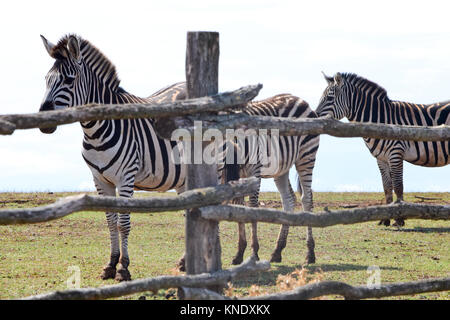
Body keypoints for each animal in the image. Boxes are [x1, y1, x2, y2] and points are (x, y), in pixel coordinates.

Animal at [38, 33, 186, 282]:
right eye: (46, 80)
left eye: (69, 80)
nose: (43, 122)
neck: (95, 129)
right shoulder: (100, 179)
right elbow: (110, 221)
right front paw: (110, 264)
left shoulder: (126, 178)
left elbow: (123, 223)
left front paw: (124, 268)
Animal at [222, 94, 320, 264]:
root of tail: (299, 99)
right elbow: (239, 206)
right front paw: (239, 253)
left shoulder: (255, 170)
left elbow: (253, 206)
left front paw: (254, 253)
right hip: (282, 167)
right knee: (289, 199)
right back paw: (277, 251)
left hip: (306, 156)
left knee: (307, 199)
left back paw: (310, 253)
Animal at [316, 72, 450, 228]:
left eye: (330, 98)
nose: (314, 117)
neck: (380, 120)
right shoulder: (381, 158)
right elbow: (386, 186)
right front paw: (386, 218)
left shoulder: (396, 153)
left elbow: (398, 186)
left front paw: (399, 218)